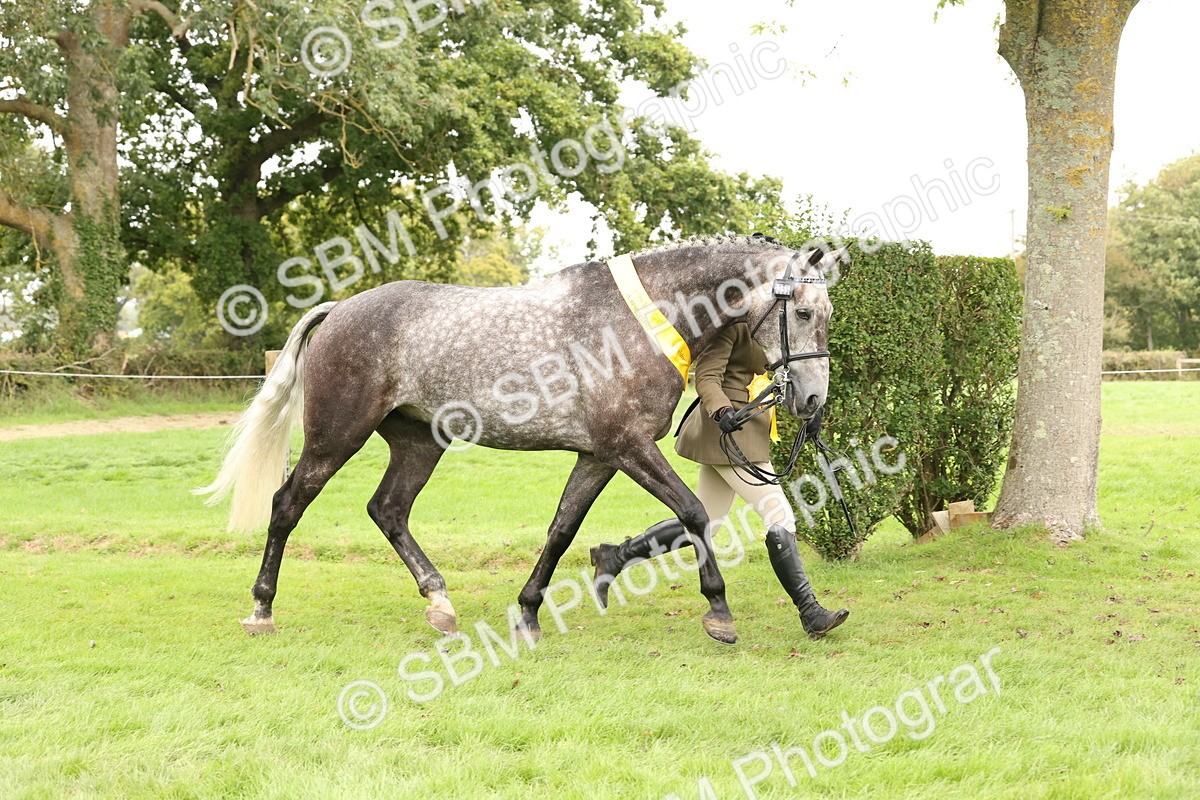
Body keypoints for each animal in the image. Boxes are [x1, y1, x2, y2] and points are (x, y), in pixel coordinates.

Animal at [197, 234, 839, 645]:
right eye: (806, 313)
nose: (811, 401)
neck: (641, 319)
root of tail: (336, 311)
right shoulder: (629, 446)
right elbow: (693, 515)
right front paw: (719, 610)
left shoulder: (599, 454)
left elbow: (561, 529)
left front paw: (528, 614)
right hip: (336, 437)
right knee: (287, 504)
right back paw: (261, 608)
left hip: (418, 442)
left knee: (388, 510)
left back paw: (441, 604)